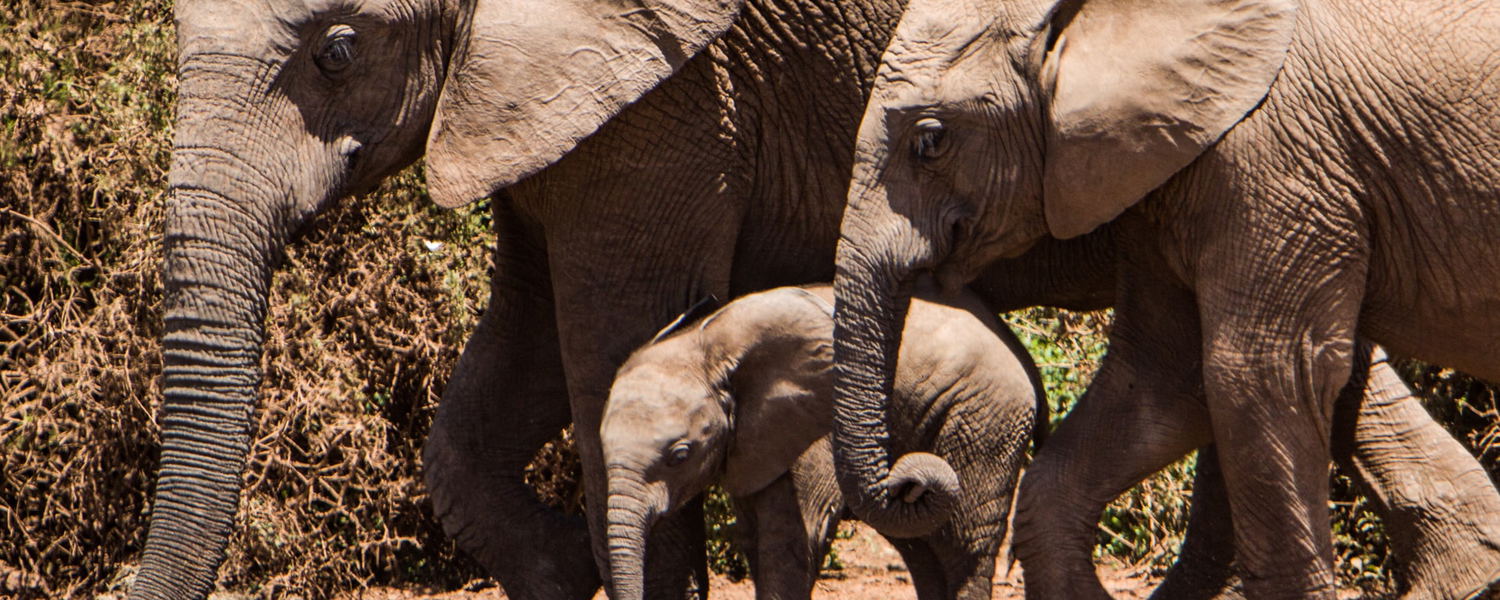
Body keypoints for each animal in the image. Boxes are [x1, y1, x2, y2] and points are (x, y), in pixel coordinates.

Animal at [599, 284, 1044, 600]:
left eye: (680, 455)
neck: (704, 345)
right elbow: (755, 539)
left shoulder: (813, 427)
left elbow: (792, 541)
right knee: (920, 545)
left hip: (985, 415)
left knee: (962, 543)